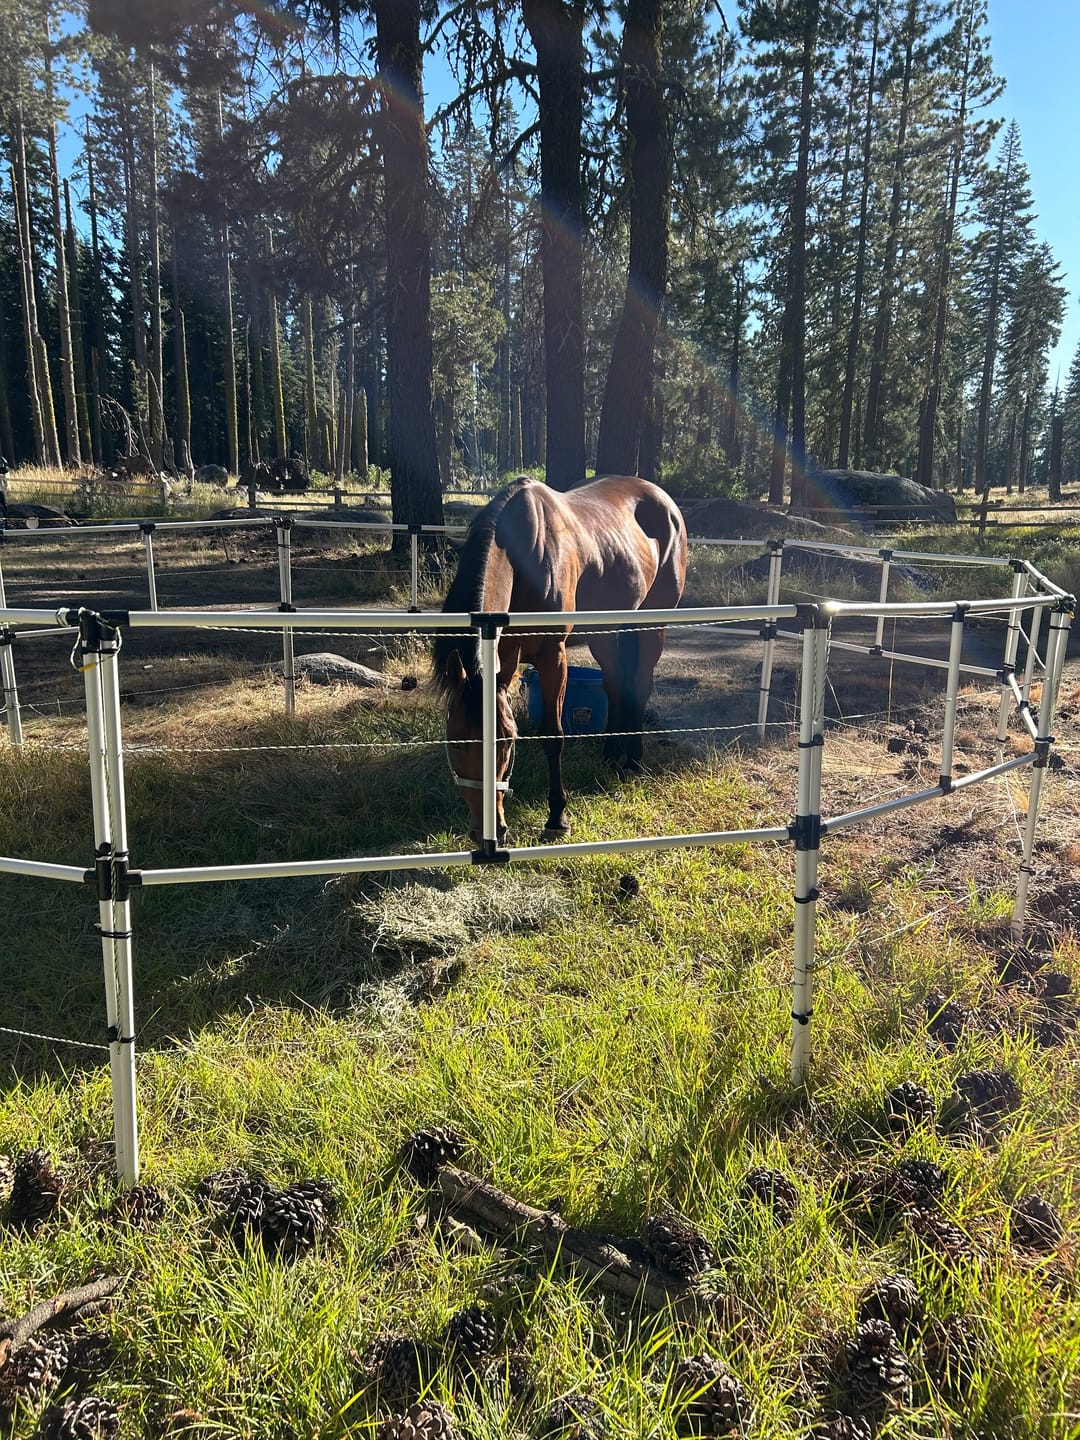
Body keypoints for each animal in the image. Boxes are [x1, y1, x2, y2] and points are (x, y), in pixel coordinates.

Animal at [432, 475, 688, 843]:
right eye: (455, 743)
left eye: (507, 742)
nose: (487, 831)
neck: (523, 557)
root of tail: (664, 500)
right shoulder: (505, 655)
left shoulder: (553, 656)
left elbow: (553, 736)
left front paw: (557, 817)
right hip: (605, 632)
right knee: (615, 684)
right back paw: (611, 755)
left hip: (651, 623)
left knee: (639, 685)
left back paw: (632, 762)